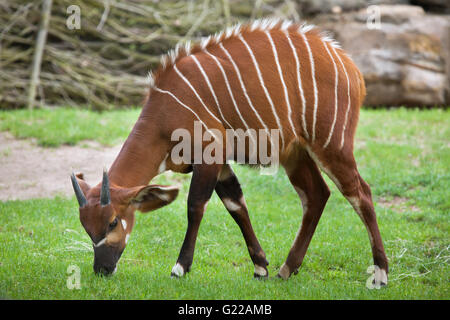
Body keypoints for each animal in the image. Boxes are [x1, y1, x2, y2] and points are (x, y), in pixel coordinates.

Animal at [70, 18, 386, 286]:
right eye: (86, 227)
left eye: (113, 221)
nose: (102, 269)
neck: (164, 113)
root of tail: (352, 69)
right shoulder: (220, 163)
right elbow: (236, 205)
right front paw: (261, 267)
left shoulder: (210, 154)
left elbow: (195, 206)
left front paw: (179, 268)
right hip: (295, 153)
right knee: (317, 194)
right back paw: (287, 269)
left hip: (331, 145)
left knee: (360, 192)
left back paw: (380, 273)